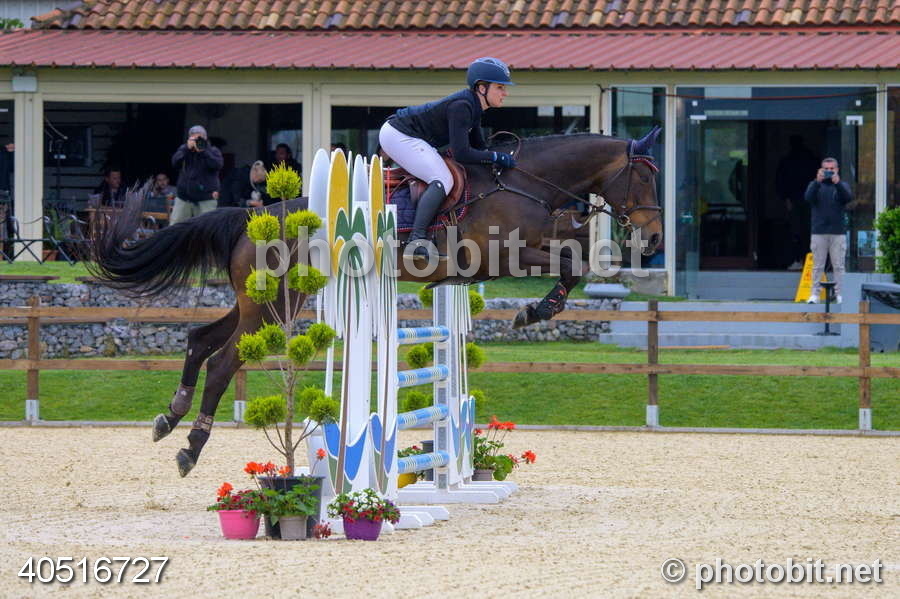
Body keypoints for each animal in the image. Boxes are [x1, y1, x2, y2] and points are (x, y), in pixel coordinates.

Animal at [89, 128, 663, 477]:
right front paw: (533, 311)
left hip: (259, 304)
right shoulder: (502, 254)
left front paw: (536, 310)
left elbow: (574, 260)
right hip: (276, 305)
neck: (525, 183)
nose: (655, 239)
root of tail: (251, 216)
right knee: (226, 360)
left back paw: (170, 417)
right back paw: (191, 446)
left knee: (200, 339)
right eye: (645, 177)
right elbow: (570, 262)